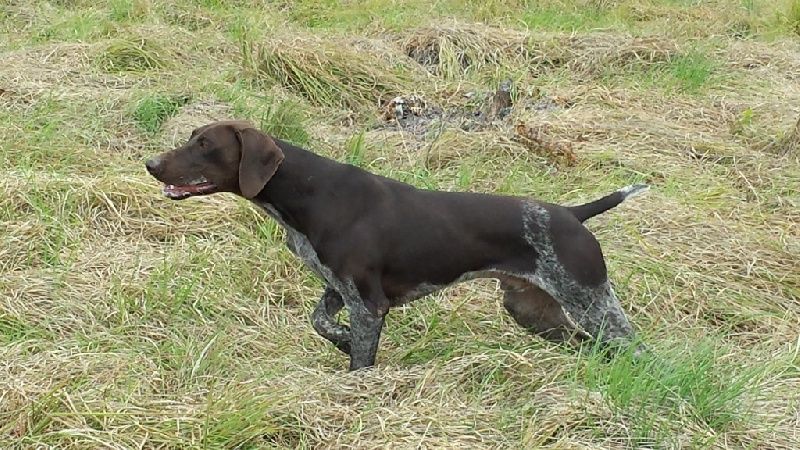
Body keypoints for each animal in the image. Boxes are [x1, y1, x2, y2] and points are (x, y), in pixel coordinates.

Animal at [145, 120, 648, 370]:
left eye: (204, 144)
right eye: (192, 138)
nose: (150, 164)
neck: (307, 194)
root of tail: (572, 214)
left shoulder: (369, 303)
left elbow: (361, 356)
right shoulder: (340, 287)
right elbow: (319, 321)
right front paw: (341, 339)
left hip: (591, 301)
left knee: (630, 345)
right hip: (532, 310)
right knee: (590, 345)